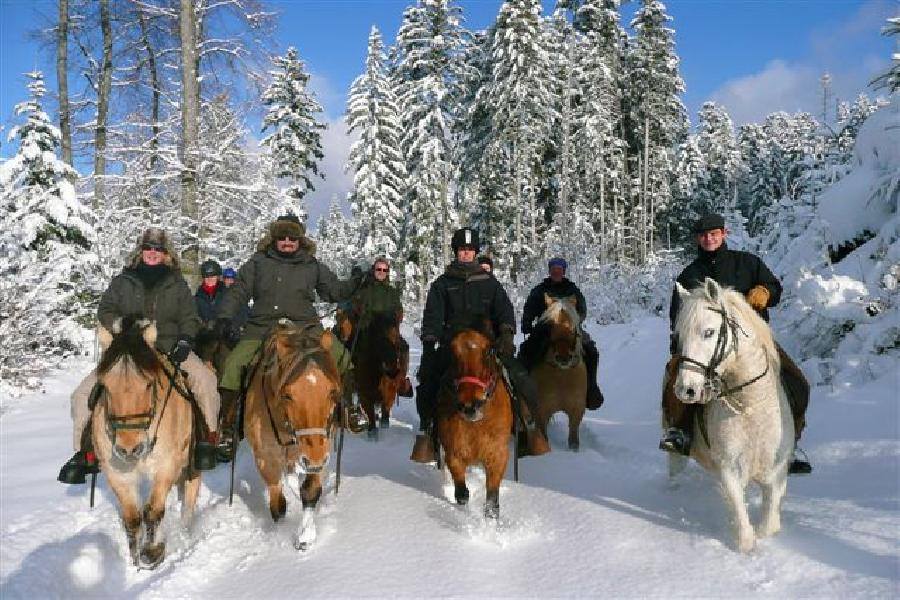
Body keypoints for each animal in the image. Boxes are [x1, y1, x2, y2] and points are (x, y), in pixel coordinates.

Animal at [90, 316, 199, 568]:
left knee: (191, 490)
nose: (129, 449)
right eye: (105, 386)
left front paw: (152, 551)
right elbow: (132, 518)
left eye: (149, 384)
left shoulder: (167, 466)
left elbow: (153, 511)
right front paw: (135, 560)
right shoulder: (117, 474)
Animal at [243, 322, 342, 552]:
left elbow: (310, 491)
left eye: (332, 391)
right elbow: (278, 503)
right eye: (287, 395)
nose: (315, 459)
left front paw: (306, 536)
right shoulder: (265, 457)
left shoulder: (318, 449)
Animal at [436, 318, 512, 520]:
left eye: (489, 351)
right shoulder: (454, 453)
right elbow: (462, 494)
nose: (471, 405)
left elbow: (492, 503)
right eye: (452, 352)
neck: (477, 425)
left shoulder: (498, 454)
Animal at [528, 296, 592, 450]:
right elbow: (543, 435)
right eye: (550, 326)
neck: (561, 377)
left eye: (573, 327)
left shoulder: (576, 409)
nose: (563, 358)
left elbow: (574, 439)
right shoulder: (541, 410)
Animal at [668, 278, 796, 552]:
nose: (686, 390)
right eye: (678, 337)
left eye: (709, 332)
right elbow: (741, 518)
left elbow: (769, 522)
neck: (751, 406)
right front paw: (744, 541)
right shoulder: (728, 468)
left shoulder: (777, 471)